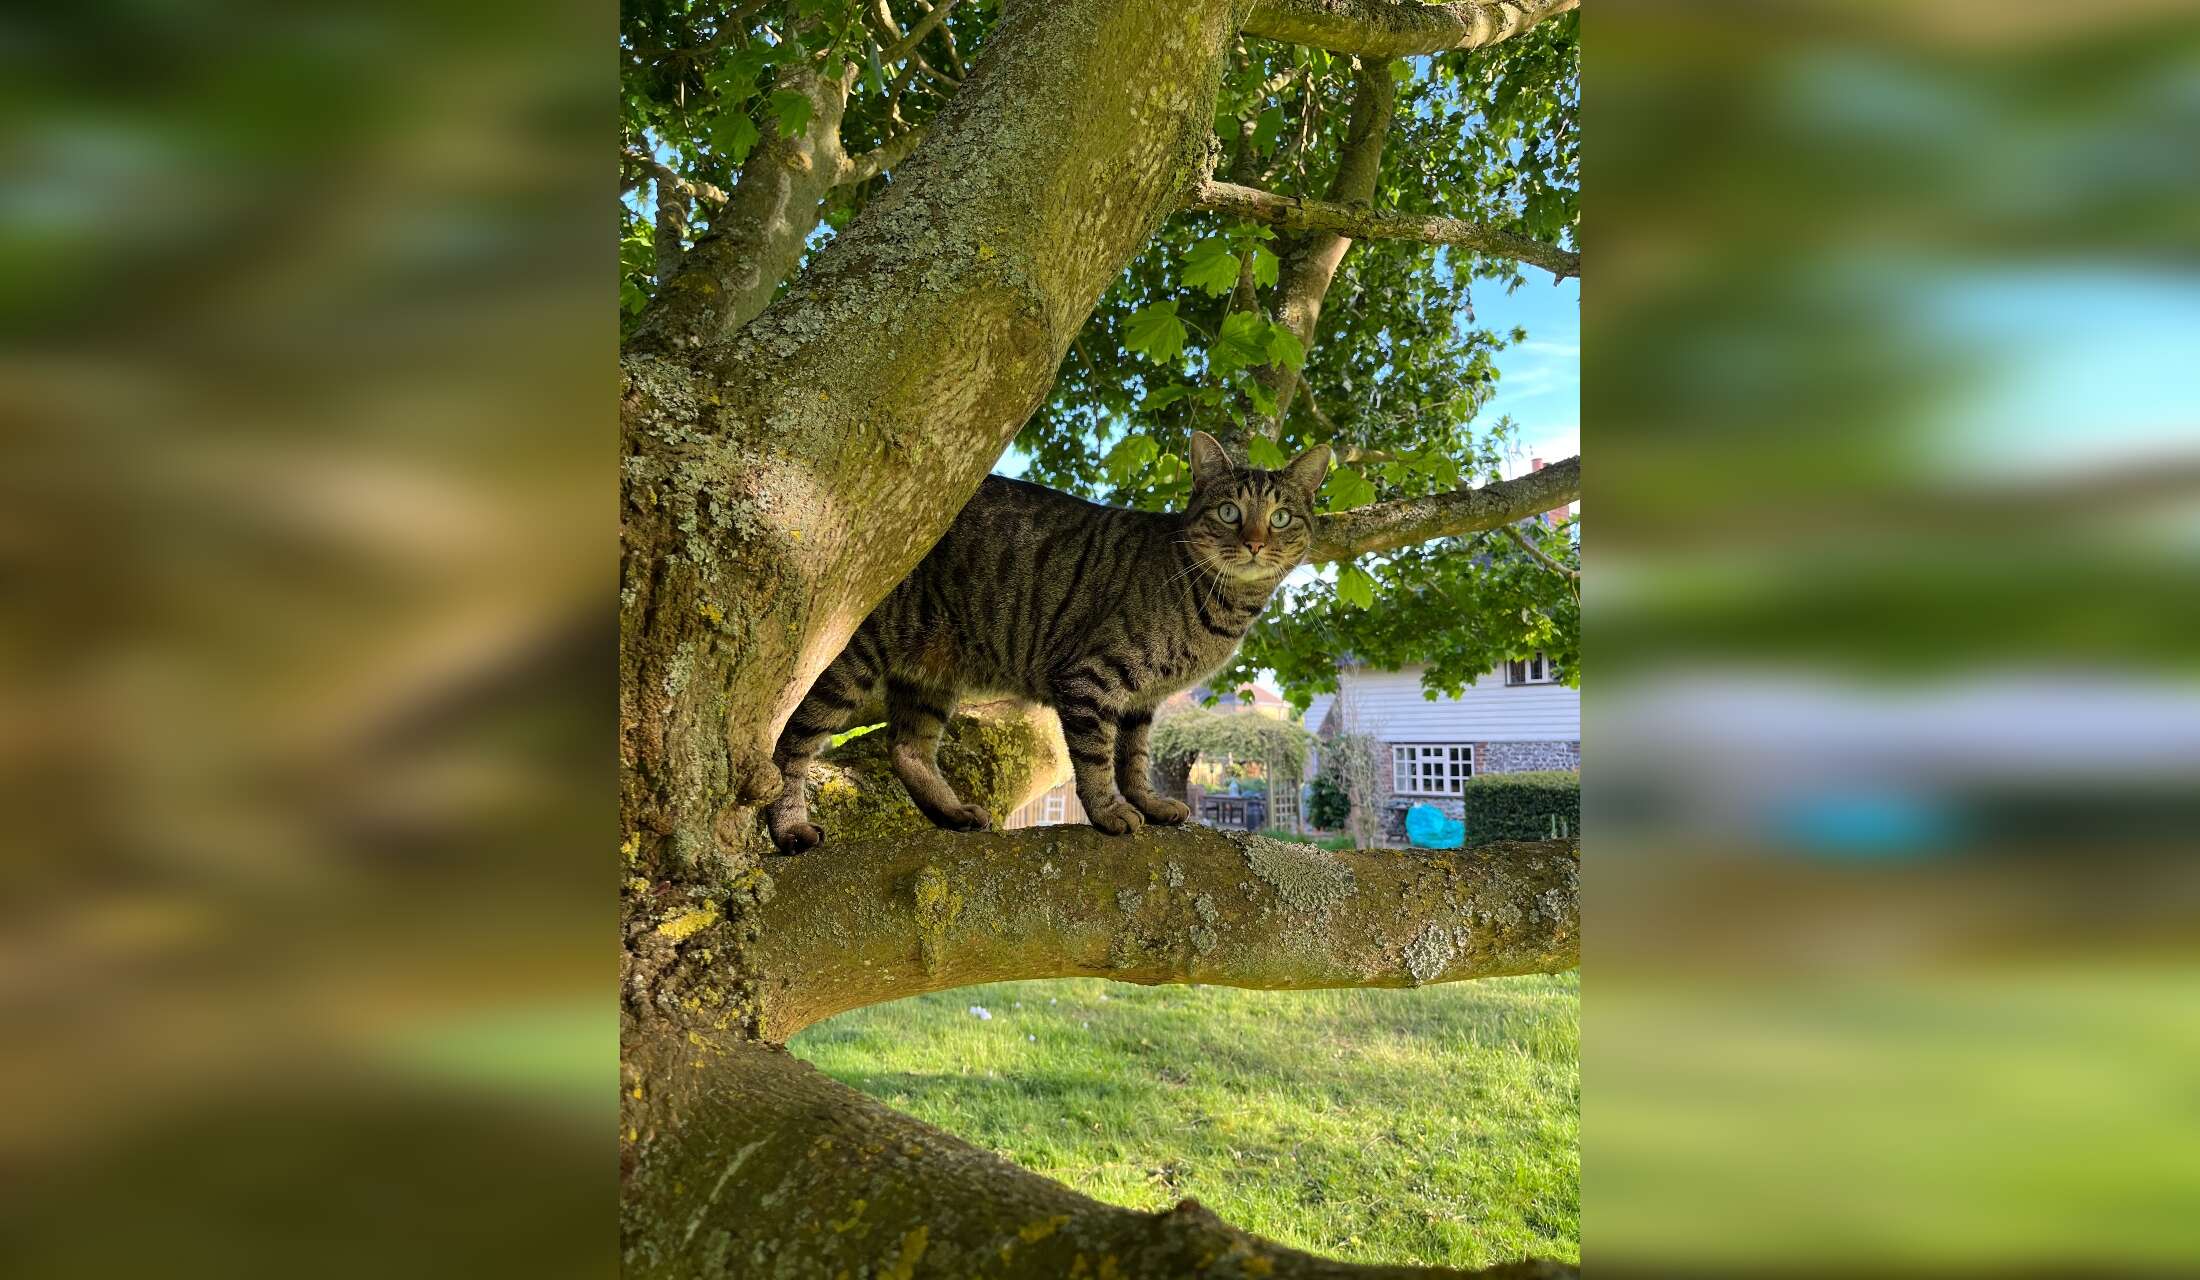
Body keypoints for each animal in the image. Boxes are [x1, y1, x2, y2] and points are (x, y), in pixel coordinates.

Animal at [765, 430, 1330, 854]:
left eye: (1280, 517)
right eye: (1229, 512)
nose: (1253, 543)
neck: (1221, 606)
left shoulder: (1141, 700)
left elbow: (1135, 758)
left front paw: (1147, 803)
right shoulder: (1092, 678)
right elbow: (1099, 758)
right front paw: (1110, 812)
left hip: (930, 675)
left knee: (906, 748)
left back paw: (951, 812)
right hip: (848, 658)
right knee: (790, 741)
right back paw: (788, 826)